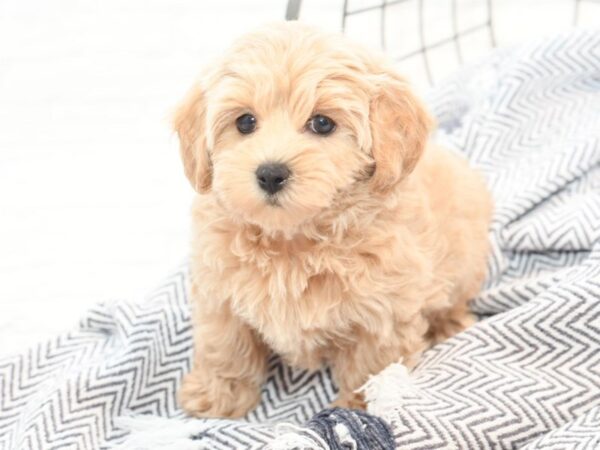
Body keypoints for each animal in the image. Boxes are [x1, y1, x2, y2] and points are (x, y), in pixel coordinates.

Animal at [173, 20, 492, 414]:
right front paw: (218, 396)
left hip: (465, 260)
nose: (270, 174)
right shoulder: (218, 295)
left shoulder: (383, 312)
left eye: (322, 124)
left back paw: (449, 324)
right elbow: (225, 346)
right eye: (245, 122)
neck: (292, 241)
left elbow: (371, 368)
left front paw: (360, 408)